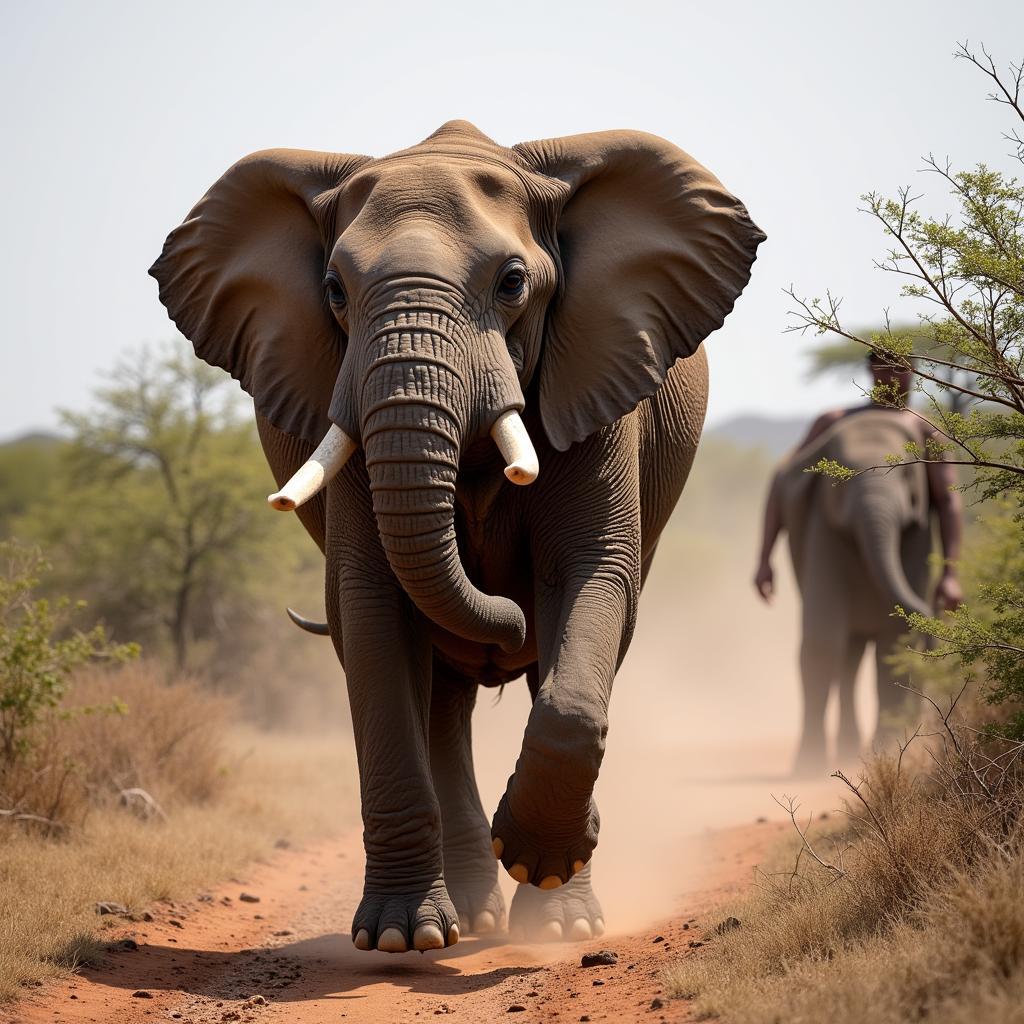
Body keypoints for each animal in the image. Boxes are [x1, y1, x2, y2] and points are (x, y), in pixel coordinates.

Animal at [149, 119, 761, 950]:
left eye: (512, 283)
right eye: (334, 291)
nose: (504, 621)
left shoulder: (598, 383)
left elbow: (588, 580)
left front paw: (545, 878)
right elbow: (371, 607)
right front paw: (399, 940)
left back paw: (553, 918)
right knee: (441, 698)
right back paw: (470, 917)